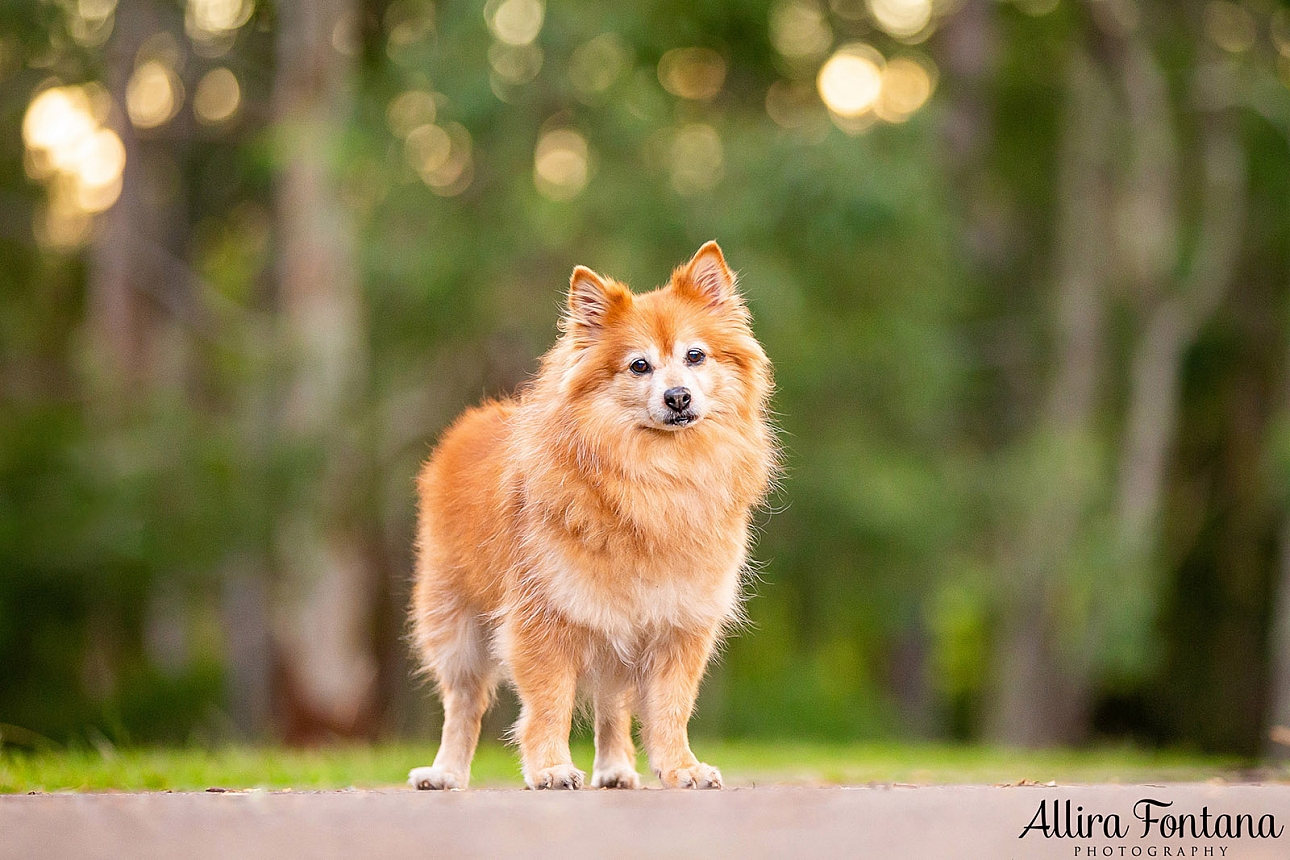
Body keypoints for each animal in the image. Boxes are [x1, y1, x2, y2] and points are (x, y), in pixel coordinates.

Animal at [407, 242, 774, 794]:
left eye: (695, 356)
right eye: (639, 366)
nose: (678, 396)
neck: (655, 478)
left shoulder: (678, 623)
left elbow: (670, 708)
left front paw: (681, 767)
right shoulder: (547, 617)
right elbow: (549, 704)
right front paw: (551, 768)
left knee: (611, 705)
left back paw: (616, 769)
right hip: (457, 624)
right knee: (464, 703)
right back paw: (446, 772)